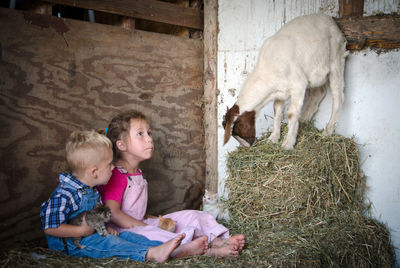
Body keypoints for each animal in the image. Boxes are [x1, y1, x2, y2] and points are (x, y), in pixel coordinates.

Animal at [222, 13, 346, 150]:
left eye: (237, 130)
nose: (247, 146)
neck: (268, 68)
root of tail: (329, 18)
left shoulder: (298, 85)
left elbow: (291, 114)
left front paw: (288, 143)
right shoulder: (279, 92)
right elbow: (277, 112)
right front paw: (273, 138)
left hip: (336, 61)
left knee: (338, 97)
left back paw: (328, 131)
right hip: (315, 72)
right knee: (320, 92)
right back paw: (304, 119)